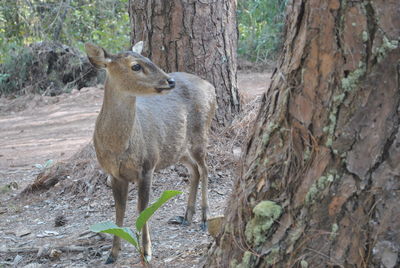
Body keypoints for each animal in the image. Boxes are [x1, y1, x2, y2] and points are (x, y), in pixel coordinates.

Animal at [84, 42, 216, 264]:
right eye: (135, 66)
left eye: (149, 58)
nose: (170, 80)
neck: (118, 147)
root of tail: (210, 87)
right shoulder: (113, 174)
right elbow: (119, 211)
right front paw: (112, 254)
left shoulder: (147, 165)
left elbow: (142, 209)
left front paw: (146, 251)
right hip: (177, 149)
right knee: (195, 170)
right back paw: (186, 217)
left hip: (200, 132)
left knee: (205, 169)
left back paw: (205, 218)